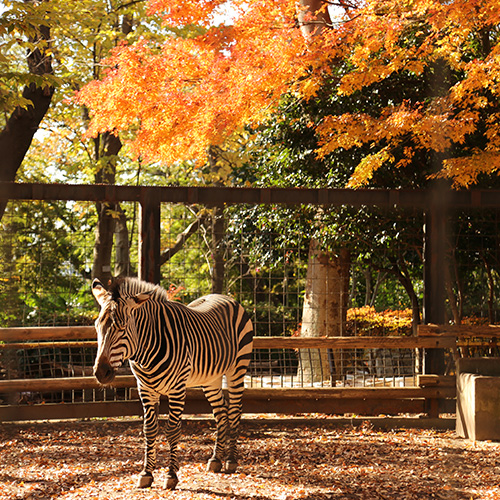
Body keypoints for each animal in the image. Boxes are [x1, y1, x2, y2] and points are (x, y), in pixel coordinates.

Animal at [91, 280, 254, 490]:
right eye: (97, 327)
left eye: (122, 327)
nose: (101, 373)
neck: (146, 351)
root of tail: (224, 296)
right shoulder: (145, 389)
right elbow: (149, 430)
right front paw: (146, 473)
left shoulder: (177, 388)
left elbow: (173, 431)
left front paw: (171, 475)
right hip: (210, 379)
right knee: (221, 412)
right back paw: (216, 459)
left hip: (237, 368)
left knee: (234, 411)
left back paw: (231, 460)